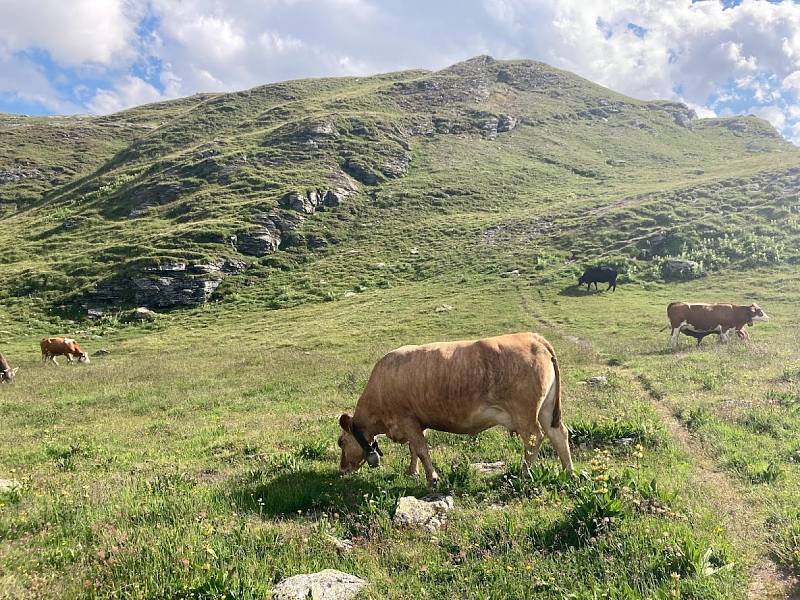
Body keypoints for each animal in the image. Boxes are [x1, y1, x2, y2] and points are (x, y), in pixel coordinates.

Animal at [338, 332, 576, 488]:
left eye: (341, 442)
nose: (342, 469)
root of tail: (533, 337)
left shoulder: (406, 419)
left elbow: (421, 450)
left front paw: (432, 479)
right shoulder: (417, 422)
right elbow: (414, 450)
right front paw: (412, 472)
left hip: (524, 413)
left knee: (534, 439)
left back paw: (524, 474)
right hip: (546, 409)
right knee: (558, 434)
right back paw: (570, 472)